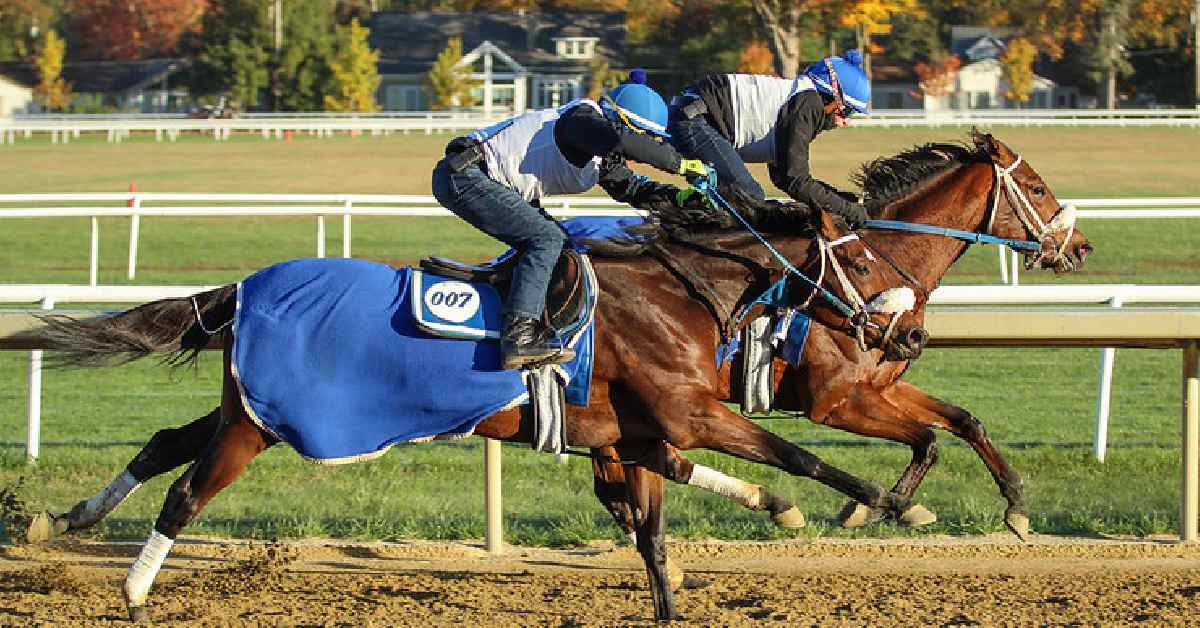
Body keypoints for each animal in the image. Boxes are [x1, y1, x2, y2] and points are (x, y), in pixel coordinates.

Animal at [15, 199, 928, 621]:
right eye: (863, 259)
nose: (909, 333)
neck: (676, 292)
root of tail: (245, 286)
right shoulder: (687, 414)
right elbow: (802, 456)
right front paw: (882, 505)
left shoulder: (635, 433)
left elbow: (653, 531)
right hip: (260, 421)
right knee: (185, 492)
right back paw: (134, 592)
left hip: (250, 409)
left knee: (165, 442)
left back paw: (65, 519)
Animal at [590, 130, 1093, 547]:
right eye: (1037, 188)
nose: (1081, 246)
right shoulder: (834, 401)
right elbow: (927, 435)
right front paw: (875, 508)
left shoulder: (880, 384)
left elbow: (959, 424)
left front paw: (1016, 505)